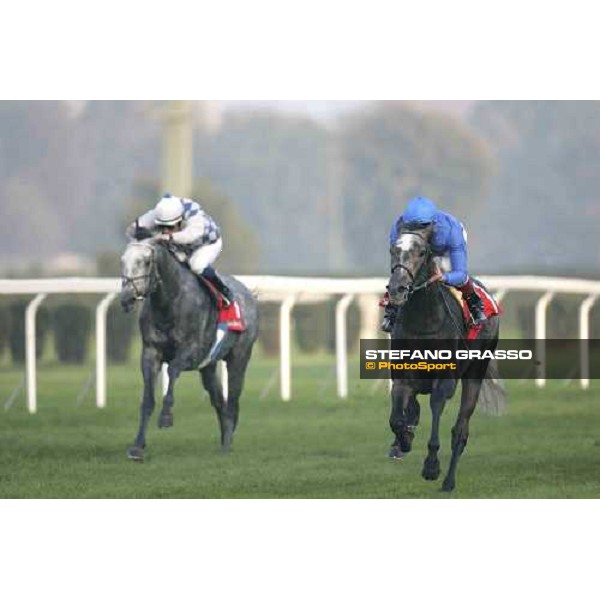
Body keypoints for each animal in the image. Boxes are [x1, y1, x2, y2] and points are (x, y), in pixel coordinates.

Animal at [119, 236, 258, 460]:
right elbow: (147, 399)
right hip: (208, 367)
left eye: (146, 262)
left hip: (239, 357)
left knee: (232, 401)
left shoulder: (192, 351)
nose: (126, 297)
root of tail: (249, 294)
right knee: (219, 401)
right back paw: (224, 439)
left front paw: (166, 417)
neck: (169, 302)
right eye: (122, 260)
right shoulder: (150, 353)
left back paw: (227, 443)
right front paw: (137, 446)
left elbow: (173, 369)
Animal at [384, 226, 502, 492]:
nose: (397, 290)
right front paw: (402, 441)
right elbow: (397, 418)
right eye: (393, 250)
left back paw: (448, 481)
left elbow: (436, 406)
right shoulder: (402, 376)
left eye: (421, 252)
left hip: (476, 373)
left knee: (460, 431)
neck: (424, 322)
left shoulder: (446, 380)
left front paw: (431, 466)